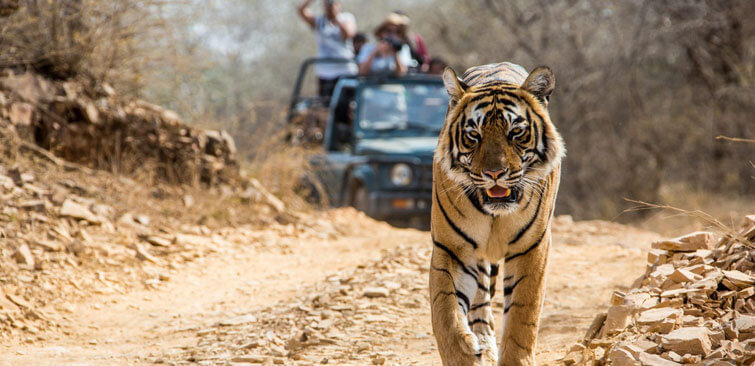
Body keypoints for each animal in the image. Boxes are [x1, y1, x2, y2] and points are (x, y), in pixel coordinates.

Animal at [428, 61, 564, 364]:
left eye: (516, 133)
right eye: (473, 136)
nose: (494, 174)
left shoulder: (531, 248)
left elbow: (522, 317)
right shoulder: (451, 248)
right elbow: (445, 312)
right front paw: (463, 354)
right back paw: (482, 344)